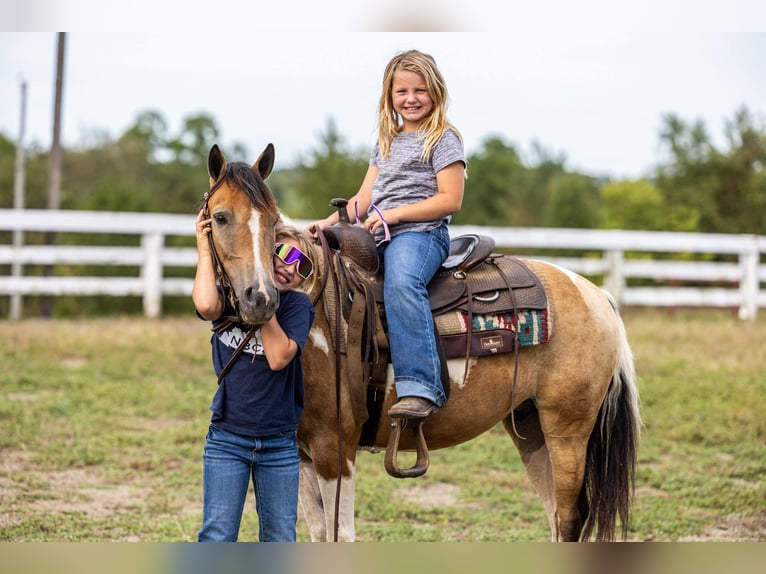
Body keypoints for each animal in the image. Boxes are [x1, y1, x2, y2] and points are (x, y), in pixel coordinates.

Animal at [201, 144, 641, 542]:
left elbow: (340, 534)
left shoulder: (334, 447)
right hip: (530, 427)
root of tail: (596, 294)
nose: (260, 298)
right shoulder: (302, 451)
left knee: (568, 518)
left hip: (568, 429)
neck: (316, 309)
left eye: (271, 219)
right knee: (554, 515)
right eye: (220, 217)